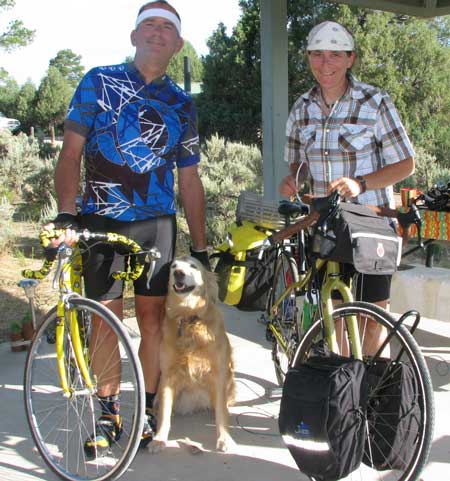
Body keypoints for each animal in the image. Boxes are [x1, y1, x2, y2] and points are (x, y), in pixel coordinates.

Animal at [149, 253, 237, 452]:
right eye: (173, 267)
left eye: (193, 266)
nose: (179, 274)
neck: (188, 317)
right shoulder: (167, 375)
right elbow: (165, 413)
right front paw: (159, 439)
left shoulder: (219, 374)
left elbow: (222, 413)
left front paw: (224, 438)